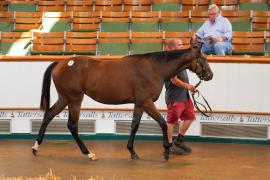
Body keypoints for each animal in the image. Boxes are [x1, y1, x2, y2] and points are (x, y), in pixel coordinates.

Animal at [31, 40, 213, 160]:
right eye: (203, 59)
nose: (210, 75)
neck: (154, 68)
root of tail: (61, 63)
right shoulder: (147, 102)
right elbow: (162, 123)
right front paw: (167, 150)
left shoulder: (139, 104)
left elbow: (134, 126)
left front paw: (132, 151)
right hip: (75, 99)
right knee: (72, 125)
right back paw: (89, 153)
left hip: (64, 98)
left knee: (48, 115)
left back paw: (35, 147)